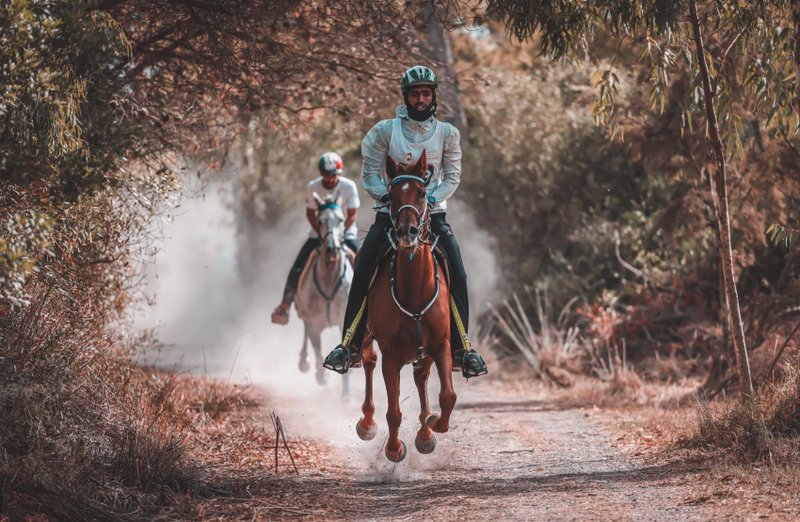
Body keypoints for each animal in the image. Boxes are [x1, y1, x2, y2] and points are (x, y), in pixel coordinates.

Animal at [294, 191, 354, 390]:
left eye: (341, 219)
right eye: (320, 221)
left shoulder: (344, 320)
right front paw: (322, 376)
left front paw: (346, 394)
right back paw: (304, 362)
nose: (331, 249)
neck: (329, 278)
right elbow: (318, 350)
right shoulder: (314, 322)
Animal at [356, 149, 456, 460]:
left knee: (421, 377)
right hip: (367, 338)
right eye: (390, 195)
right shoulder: (391, 354)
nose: (407, 232)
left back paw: (424, 433)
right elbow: (394, 411)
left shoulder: (441, 345)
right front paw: (393, 448)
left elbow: (448, 396)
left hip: (423, 352)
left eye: (423, 193)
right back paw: (367, 422)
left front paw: (434, 424)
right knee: (368, 361)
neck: (414, 292)